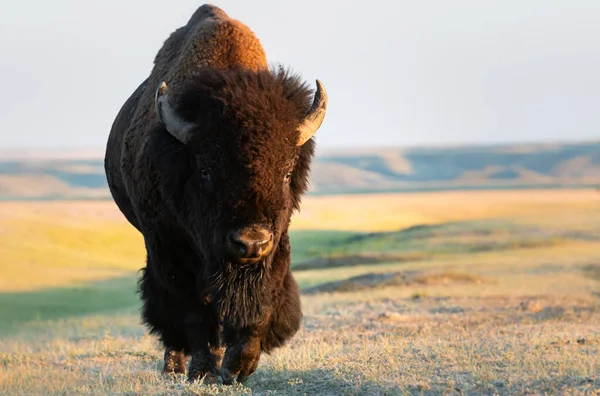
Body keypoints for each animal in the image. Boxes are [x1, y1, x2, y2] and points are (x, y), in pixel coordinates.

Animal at [103, 4, 328, 386]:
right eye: (206, 170)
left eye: (286, 173)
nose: (250, 242)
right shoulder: (169, 246)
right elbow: (192, 309)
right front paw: (205, 370)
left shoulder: (276, 245)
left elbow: (262, 300)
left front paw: (238, 366)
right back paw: (175, 366)